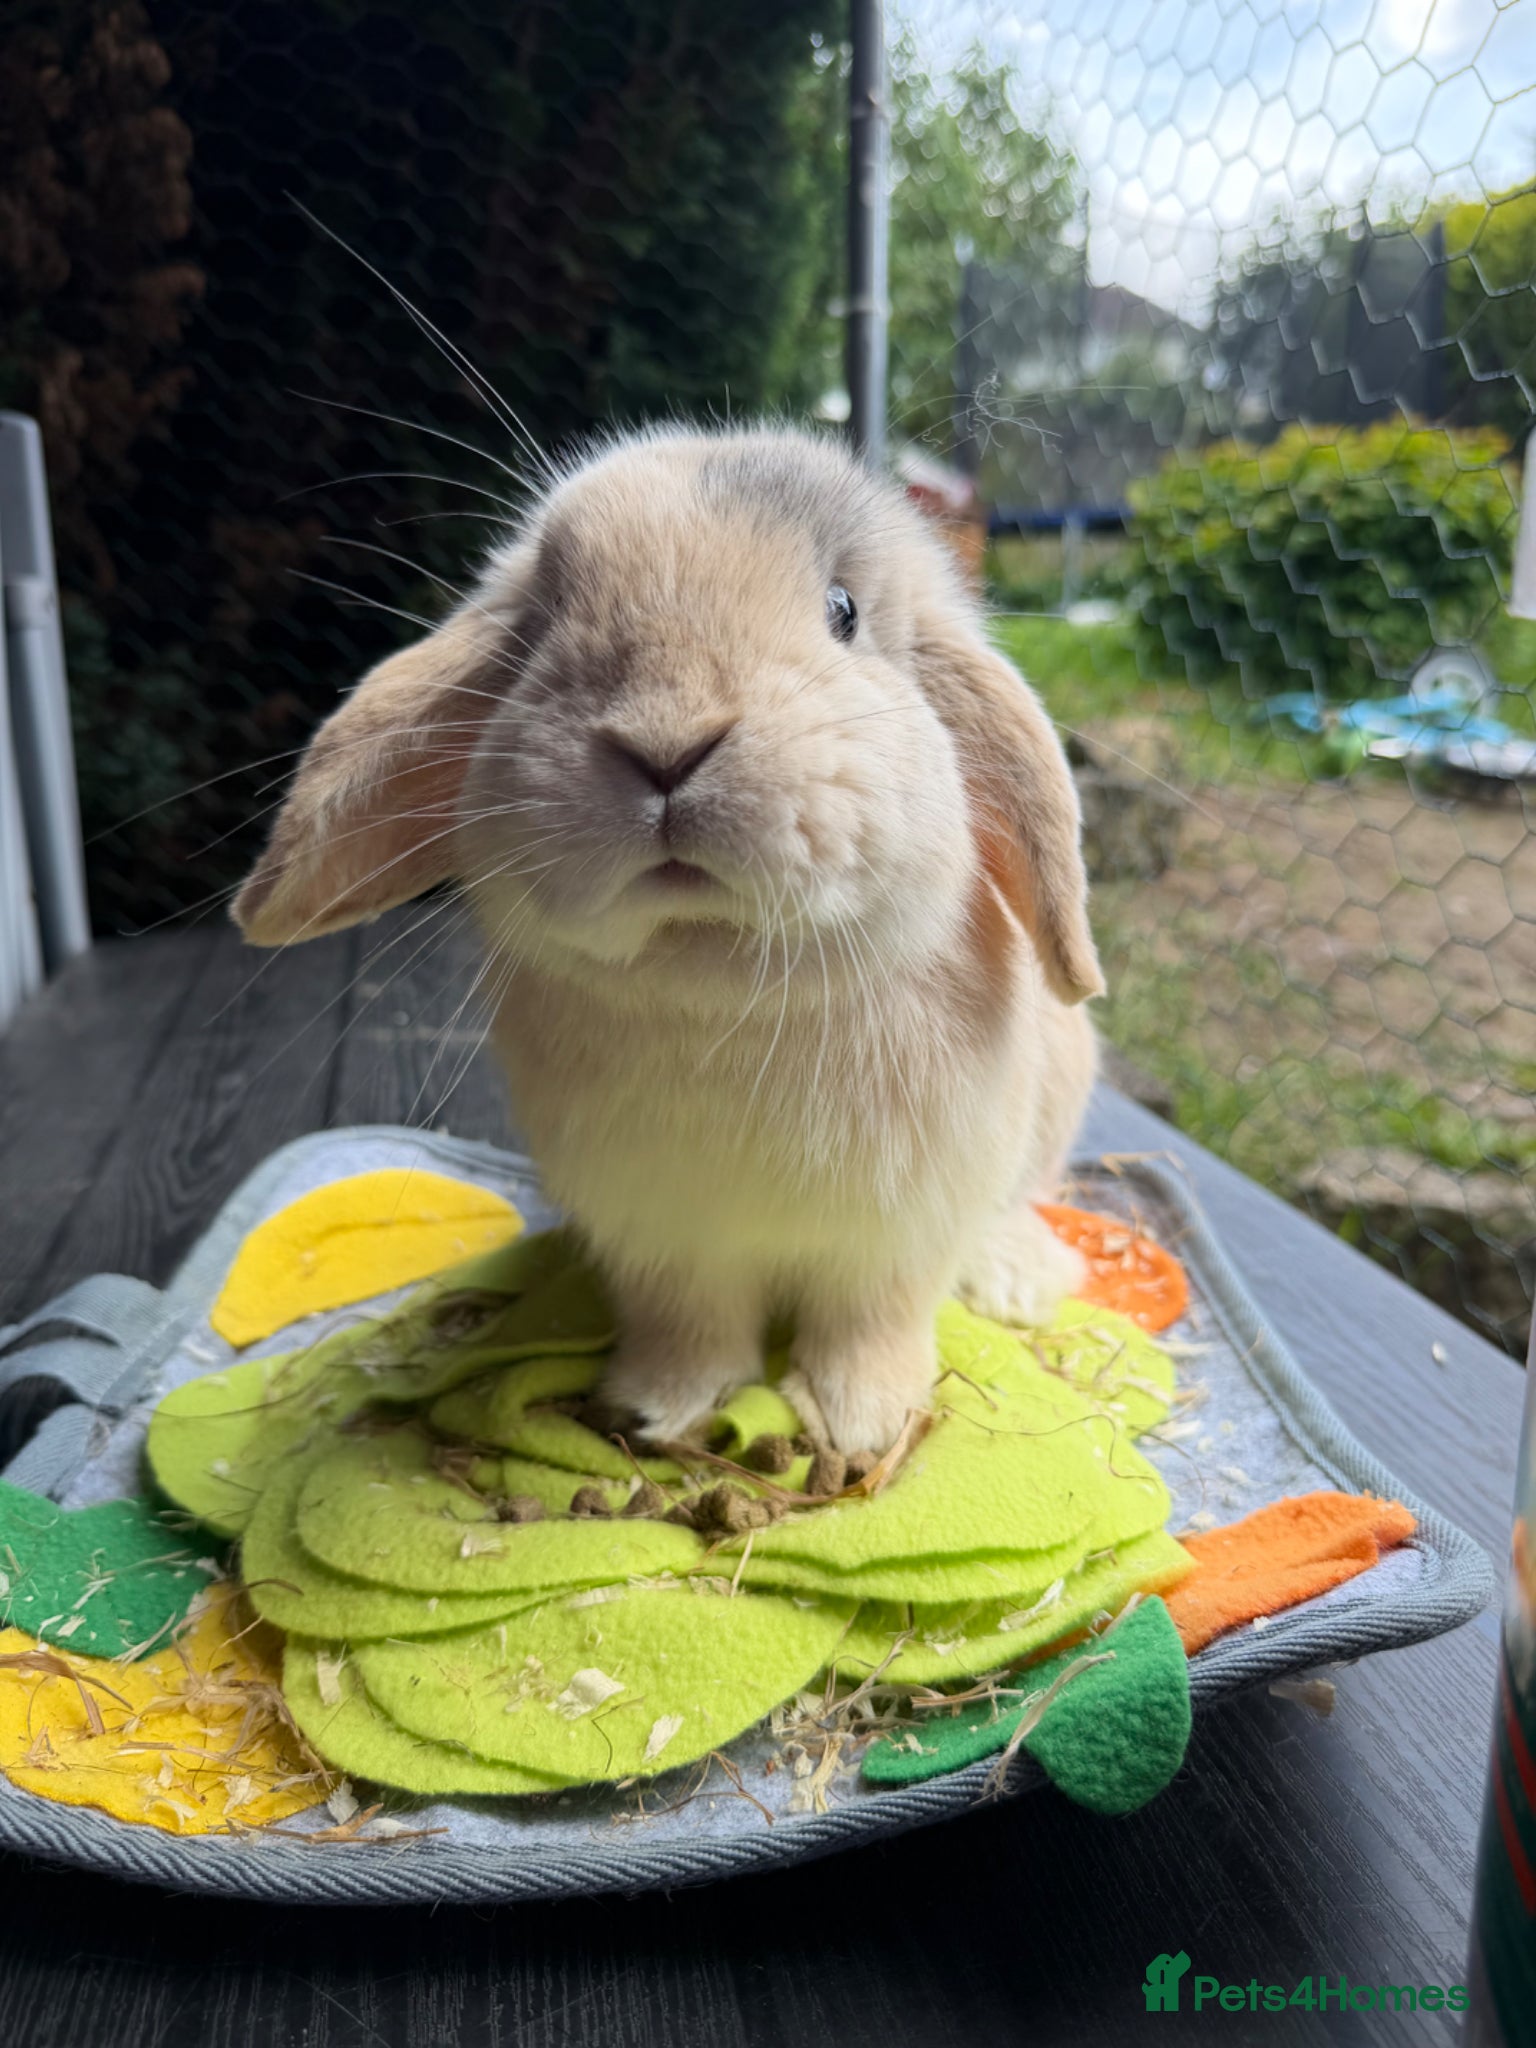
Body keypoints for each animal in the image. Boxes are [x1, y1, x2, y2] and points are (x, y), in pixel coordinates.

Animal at [234, 425, 1103, 1454]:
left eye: (843, 611)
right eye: (540, 626)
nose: (666, 742)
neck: (720, 989)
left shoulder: (895, 1240)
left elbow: (869, 1321)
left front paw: (861, 1424)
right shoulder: (666, 1244)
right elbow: (694, 1326)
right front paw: (658, 1409)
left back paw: (1013, 1280)